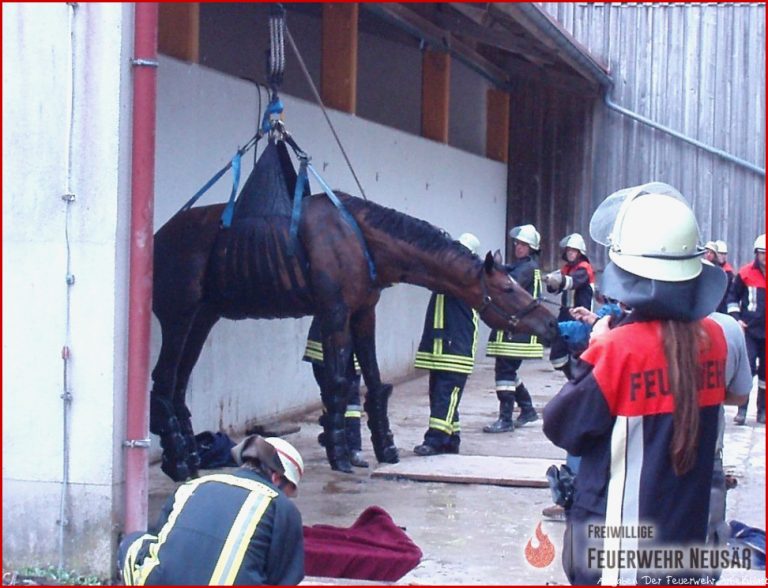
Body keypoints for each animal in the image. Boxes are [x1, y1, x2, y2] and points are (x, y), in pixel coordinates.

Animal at [150, 195, 560, 480]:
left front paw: (385, 447)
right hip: (178, 319)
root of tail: (157, 238)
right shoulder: (334, 314)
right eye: (506, 287)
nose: (551, 323)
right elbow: (337, 384)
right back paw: (178, 461)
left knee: (177, 388)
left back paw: (187, 456)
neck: (359, 240)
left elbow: (374, 384)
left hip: (202, 319)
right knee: (163, 384)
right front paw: (340, 454)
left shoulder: (364, 314)